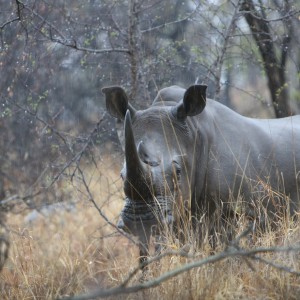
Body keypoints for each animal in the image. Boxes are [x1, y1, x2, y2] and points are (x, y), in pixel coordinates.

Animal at [101, 84, 300, 262]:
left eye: (177, 172)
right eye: (121, 175)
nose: (139, 220)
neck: (194, 135)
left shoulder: (248, 213)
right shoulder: (178, 215)